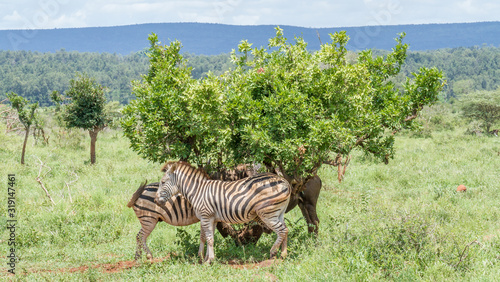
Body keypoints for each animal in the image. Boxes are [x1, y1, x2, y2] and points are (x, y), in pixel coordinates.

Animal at [154, 162, 292, 264]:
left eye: (163, 182)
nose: (155, 201)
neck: (197, 191)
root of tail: (284, 181)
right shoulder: (212, 219)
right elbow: (207, 237)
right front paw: (205, 258)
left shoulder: (206, 216)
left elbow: (209, 239)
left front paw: (209, 260)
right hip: (279, 212)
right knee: (286, 229)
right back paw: (283, 255)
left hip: (268, 213)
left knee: (282, 230)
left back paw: (273, 252)